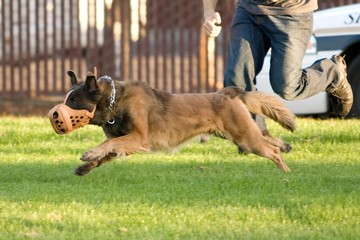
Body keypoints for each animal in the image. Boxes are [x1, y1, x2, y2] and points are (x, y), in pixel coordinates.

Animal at [48, 70, 296, 175]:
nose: (54, 116)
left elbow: (107, 145)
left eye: (74, 101)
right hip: (243, 135)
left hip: (245, 137)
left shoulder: (138, 138)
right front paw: (86, 166)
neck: (115, 100)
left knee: (272, 151)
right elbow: (107, 151)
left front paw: (89, 154)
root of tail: (227, 94)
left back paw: (286, 174)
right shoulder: (125, 142)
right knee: (271, 141)